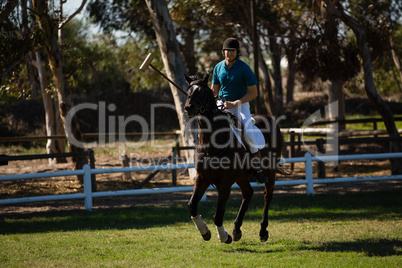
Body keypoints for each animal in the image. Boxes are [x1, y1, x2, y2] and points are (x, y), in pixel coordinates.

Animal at [185, 73, 282, 243]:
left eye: (202, 91)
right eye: (188, 90)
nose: (188, 107)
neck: (212, 145)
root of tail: (272, 120)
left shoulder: (225, 184)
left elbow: (218, 215)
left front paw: (224, 236)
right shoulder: (202, 178)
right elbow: (192, 205)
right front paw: (205, 231)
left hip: (270, 172)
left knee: (267, 196)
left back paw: (263, 231)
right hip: (241, 176)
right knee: (248, 194)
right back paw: (237, 229)